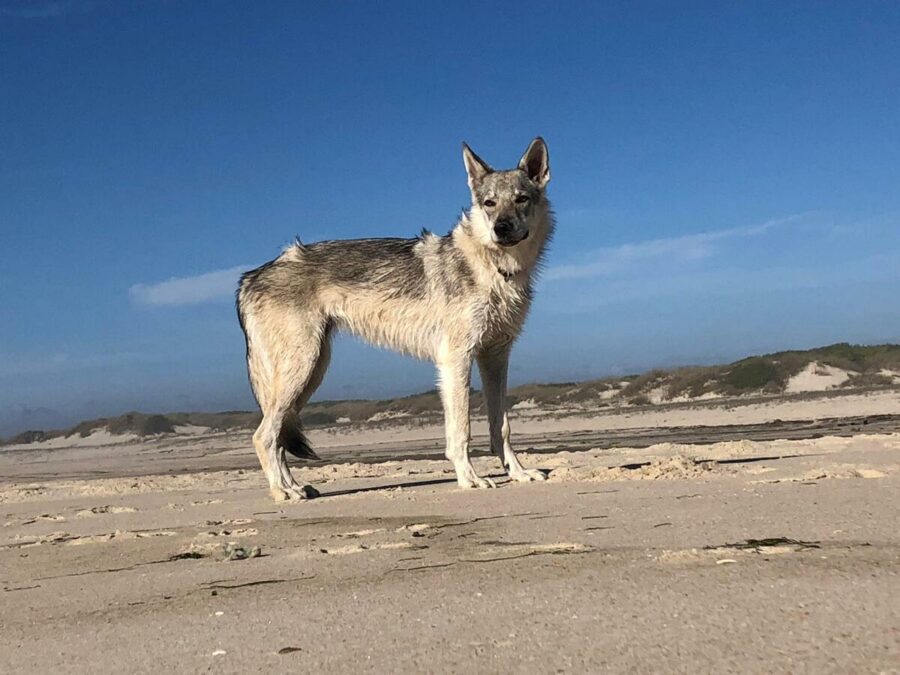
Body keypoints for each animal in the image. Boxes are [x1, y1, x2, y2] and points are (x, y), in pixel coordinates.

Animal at [236, 138, 553, 501]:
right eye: (489, 203)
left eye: (521, 199)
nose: (501, 228)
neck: (496, 267)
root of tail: (249, 277)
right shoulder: (456, 359)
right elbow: (461, 430)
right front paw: (470, 479)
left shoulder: (496, 357)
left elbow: (501, 426)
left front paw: (518, 473)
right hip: (301, 370)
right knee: (263, 436)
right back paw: (282, 493)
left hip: (310, 375)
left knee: (276, 439)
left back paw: (296, 487)